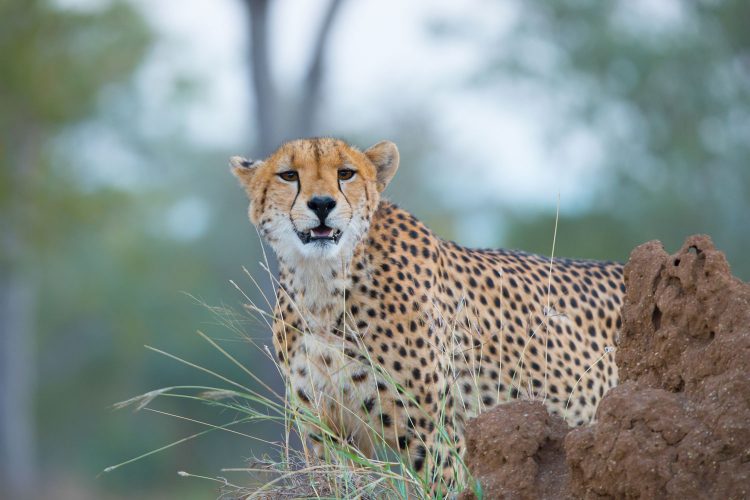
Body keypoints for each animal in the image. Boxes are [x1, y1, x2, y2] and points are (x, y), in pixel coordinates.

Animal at [231, 137, 628, 488]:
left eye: (345, 173)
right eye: (288, 175)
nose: (322, 203)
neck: (322, 284)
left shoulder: (435, 435)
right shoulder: (327, 433)